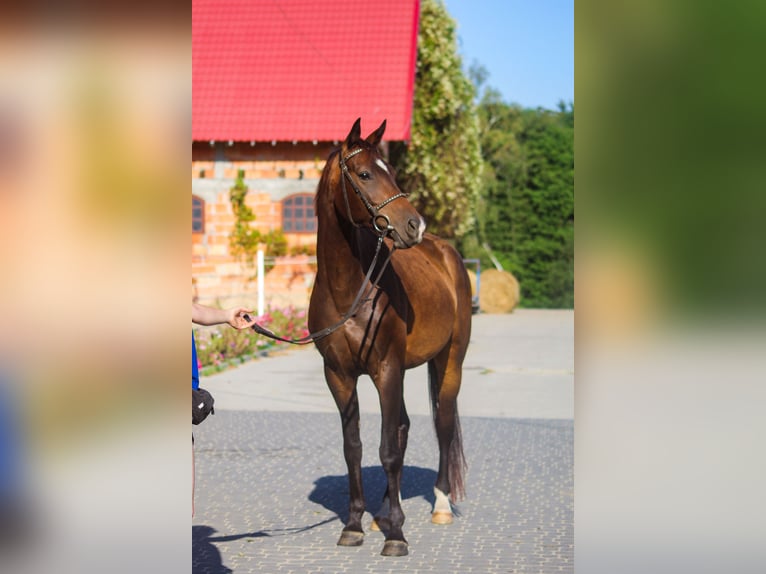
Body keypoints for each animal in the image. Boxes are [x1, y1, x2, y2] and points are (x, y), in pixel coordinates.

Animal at [308, 118, 474, 560]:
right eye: (365, 174)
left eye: (394, 171)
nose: (414, 225)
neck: (350, 291)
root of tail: (446, 253)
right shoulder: (339, 376)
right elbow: (355, 448)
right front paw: (353, 525)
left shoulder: (386, 369)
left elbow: (387, 450)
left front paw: (397, 535)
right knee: (402, 428)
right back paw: (382, 512)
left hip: (447, 363)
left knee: (442, 424)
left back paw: (440, 504)